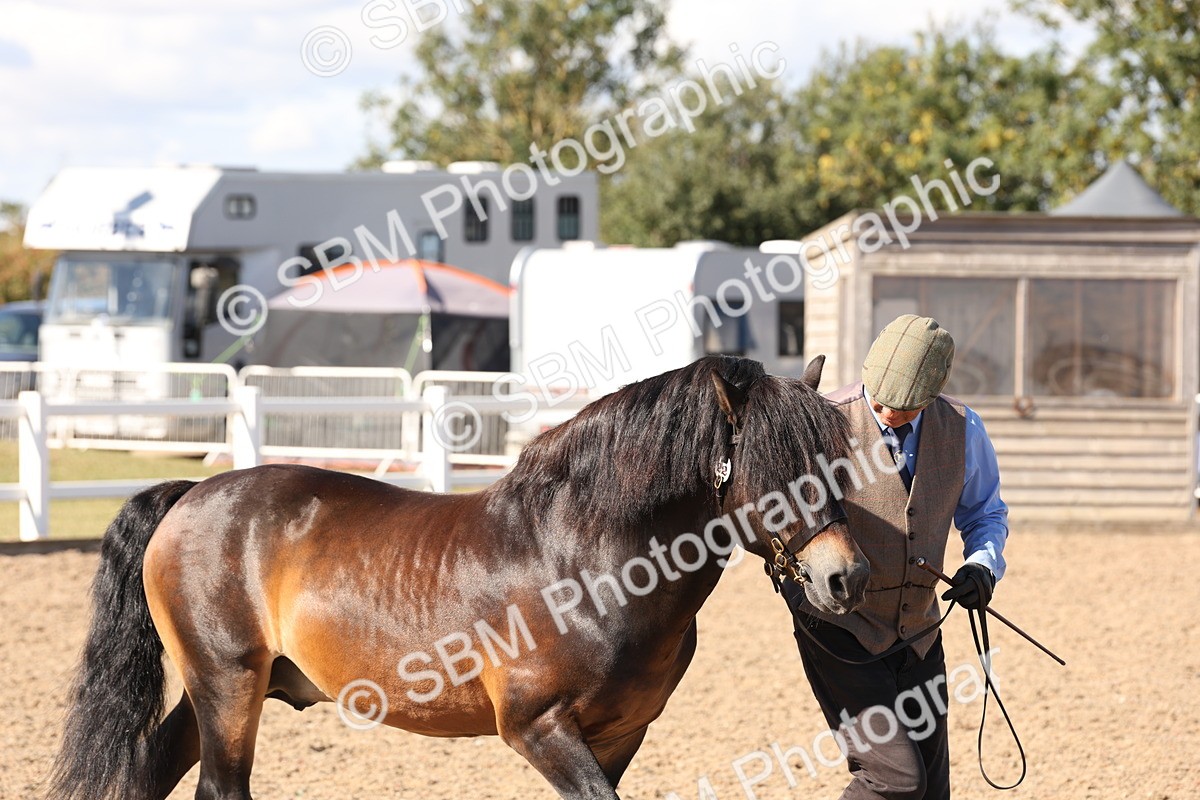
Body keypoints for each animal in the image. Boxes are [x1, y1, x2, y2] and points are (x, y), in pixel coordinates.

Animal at [50, 354, 870, 800]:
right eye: (772, 466)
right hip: (225, 682)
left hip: (220, 689)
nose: (846, 577)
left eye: (834, 460)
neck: (589, 560)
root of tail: (192, 493)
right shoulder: (539, 727)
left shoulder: (620, 733)